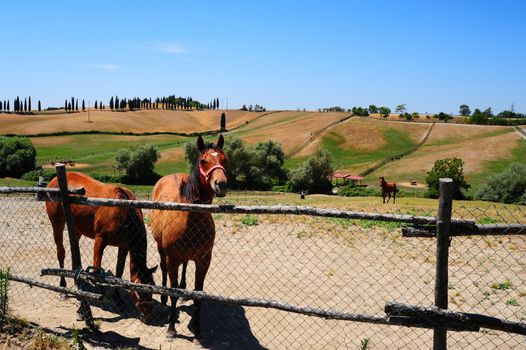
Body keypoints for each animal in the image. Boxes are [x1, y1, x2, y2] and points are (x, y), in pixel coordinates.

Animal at [45, 172, 158, 322]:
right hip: (57, 223)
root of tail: (52, 182)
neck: (123, 210)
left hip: (76, 228)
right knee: (61, 253)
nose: (148, 317)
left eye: (153, 288)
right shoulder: (99, 242)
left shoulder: (124, 246)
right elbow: (95, 272)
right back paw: (63, 288)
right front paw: (82, 310)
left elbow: (119, 272)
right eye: (141, 293)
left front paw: (118, 301)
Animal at [151, 135, 229, 340]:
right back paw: (163, 297)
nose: (221, 184)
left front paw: (198, 329)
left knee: (185, 266)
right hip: (161, 250)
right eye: (203, 161)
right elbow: (173, 291)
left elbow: (198, 293)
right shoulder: (172, 260)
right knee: (163, 269)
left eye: (224, 159)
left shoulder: (204, 260)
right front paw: (171, 329)